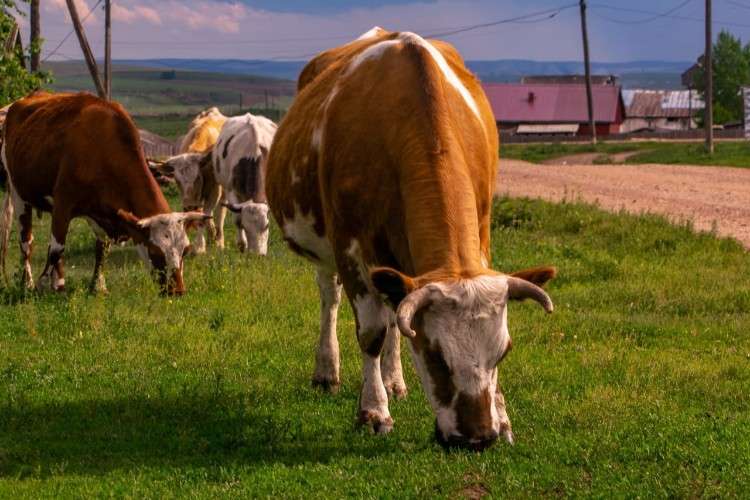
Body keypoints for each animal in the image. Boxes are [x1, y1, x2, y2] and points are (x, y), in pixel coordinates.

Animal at [0, 92, 209, 295]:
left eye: (185, 251)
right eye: (155, 251)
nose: (177, 290)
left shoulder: (102, 210)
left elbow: (101, 248)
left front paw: (98, 286)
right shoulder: (63, 203)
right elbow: (57, 248)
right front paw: (45, 284)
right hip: (18, 194)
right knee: (26, 242)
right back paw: (27, 283)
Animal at [156, 107, 227, 253]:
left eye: (197, 177)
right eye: (177, 180)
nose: (189, 205)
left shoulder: (214, 192)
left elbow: (207, 217)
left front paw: (206, 243)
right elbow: (199, 217)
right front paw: (199, 246)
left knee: (220, 215)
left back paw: (219, 241)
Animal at [213, 113, 277, 255]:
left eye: (267, 226)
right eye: (245, 226)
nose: (258, 255)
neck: (254, 155)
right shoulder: (232, 191)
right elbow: (237, 219)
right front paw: (242, 245)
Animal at [266, 28, 556, 450]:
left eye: (503, 352)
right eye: (435, 355)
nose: (476, 439)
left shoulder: (481, 234)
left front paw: (502, 418)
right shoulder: (351, 246)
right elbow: (370, 333)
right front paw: (373, 412)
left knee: (392, 308)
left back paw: (394, 381)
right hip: (325, 250)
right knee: (330, 299)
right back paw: (327, 372)